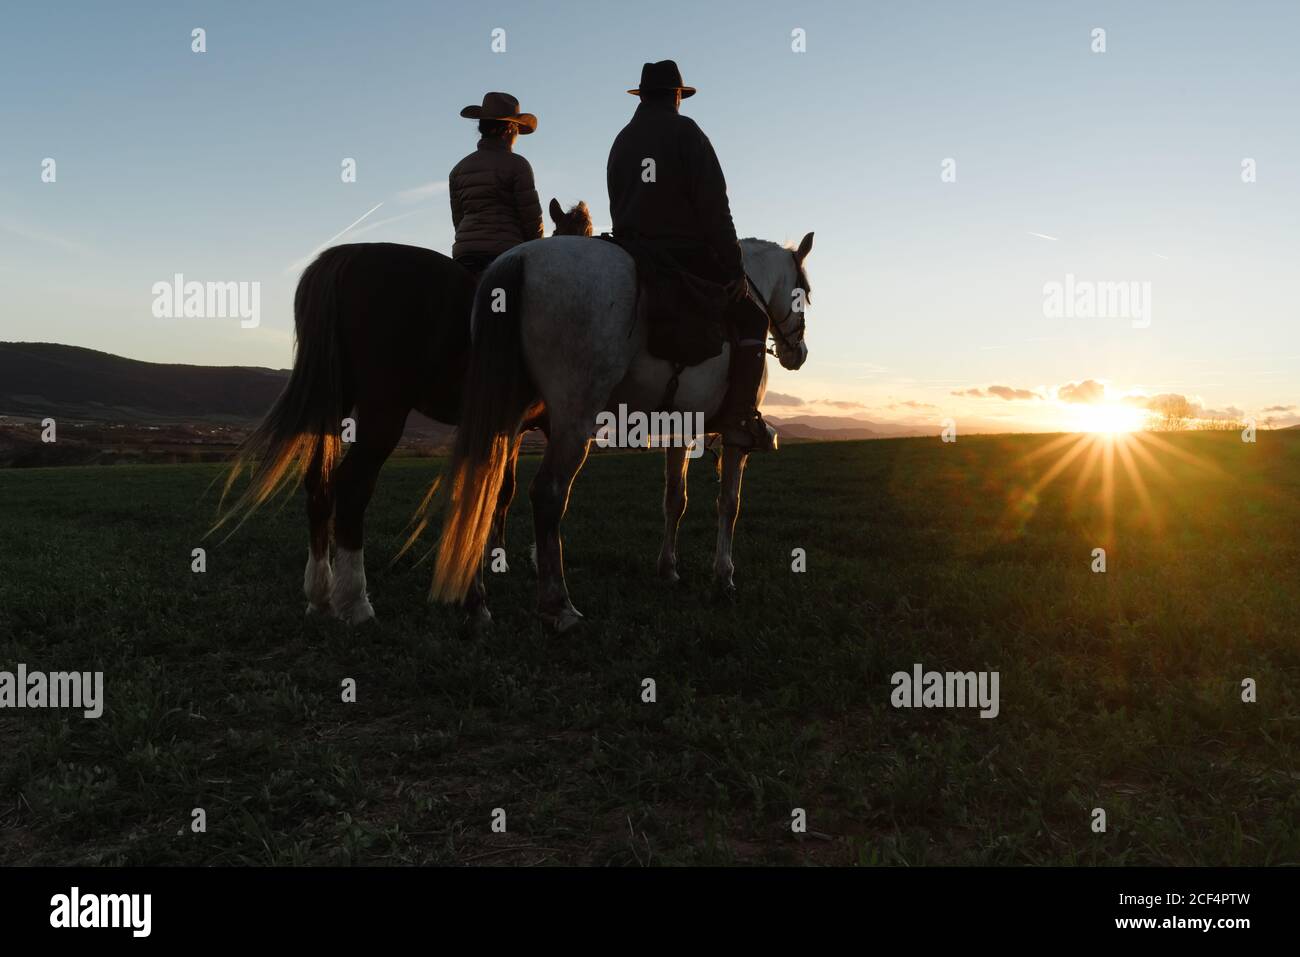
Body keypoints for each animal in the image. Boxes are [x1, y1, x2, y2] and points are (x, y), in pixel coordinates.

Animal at [214, 197, 595, 624]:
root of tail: (349, 257)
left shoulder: (506, 427)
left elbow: (499, 488)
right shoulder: (540, 424)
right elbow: (509, 489)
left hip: (334, 401)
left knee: (318, 484)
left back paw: (320, 596)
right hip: (386, 408)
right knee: (352, 485)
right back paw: (355, 601)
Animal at [431, 231, 806, 631]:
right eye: (803, 293)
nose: (797, 353)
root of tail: (518, 258)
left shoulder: (681, 429)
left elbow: (675, 500)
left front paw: (668, 569)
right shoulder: (736, 440)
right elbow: (729, 504)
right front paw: (724, 578)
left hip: (504, 414)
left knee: (480, 487)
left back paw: (476, 603)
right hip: (574, 418)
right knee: (547, 494)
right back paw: (558, 605)